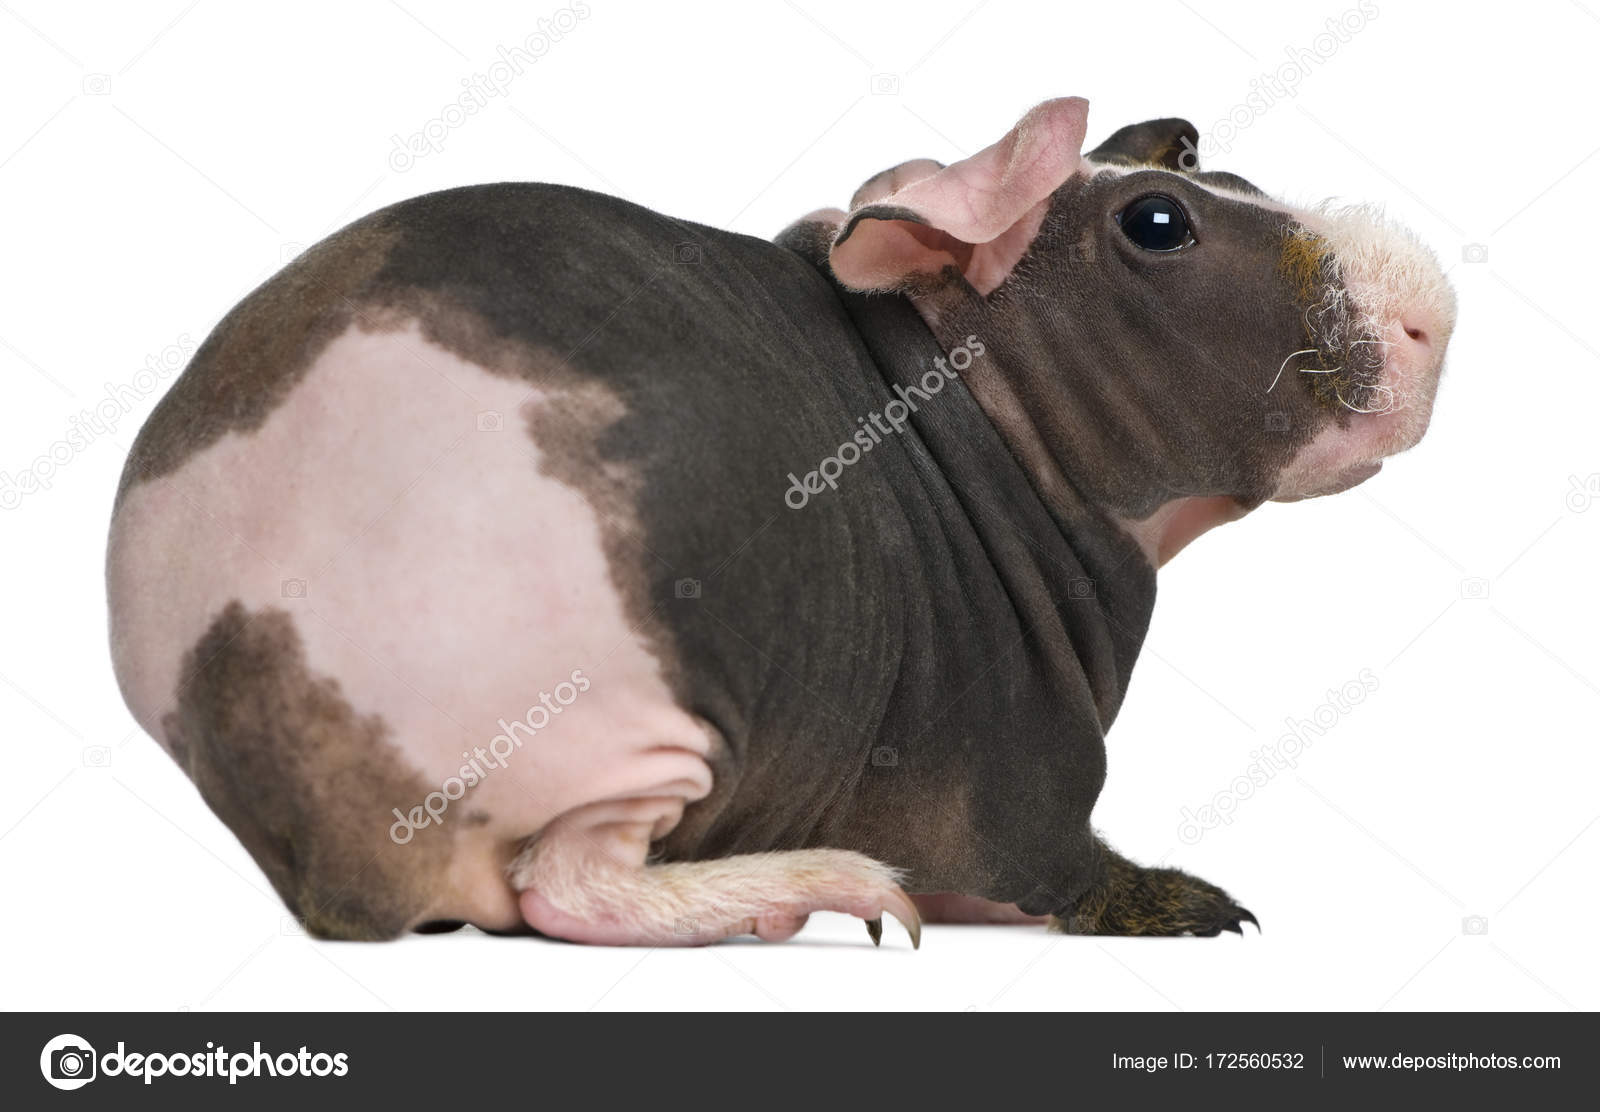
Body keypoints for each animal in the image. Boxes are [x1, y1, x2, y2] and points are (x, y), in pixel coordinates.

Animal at [107, 98, 1455, 945]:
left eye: (1190, 154)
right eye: (1158, 223)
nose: (1431, 312)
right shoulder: (1022, 780)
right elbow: (1058, 863)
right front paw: (1179, 898)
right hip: (634, 720)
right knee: (564, 887)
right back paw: (816, 888)